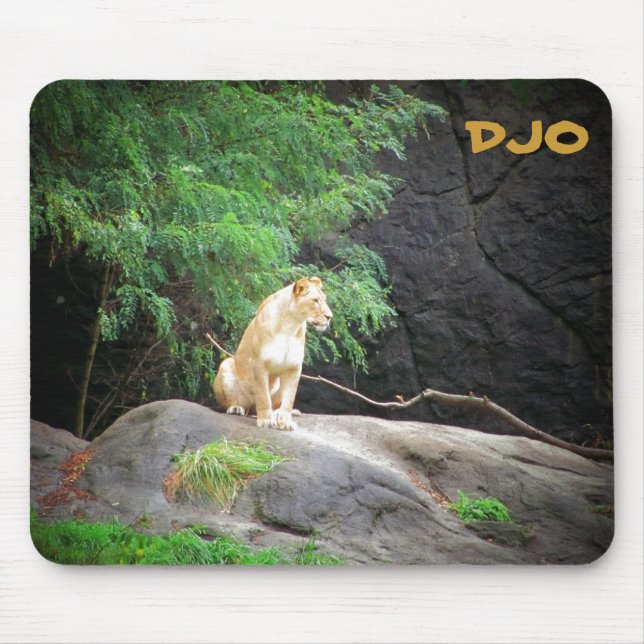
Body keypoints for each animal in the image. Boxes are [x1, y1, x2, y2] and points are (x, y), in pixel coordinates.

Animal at [213, 277, 333, 431]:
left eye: (324, 300)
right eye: (315, 300)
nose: (329, 316)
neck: (291, 326)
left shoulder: (293, 368)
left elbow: (289, 400)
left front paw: (285, 422)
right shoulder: (259, 364)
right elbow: (263, 396)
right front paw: (265, 420)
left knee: (277, 405)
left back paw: (277, 414)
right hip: (226, 365)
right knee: (232, 402)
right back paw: (236, 408)